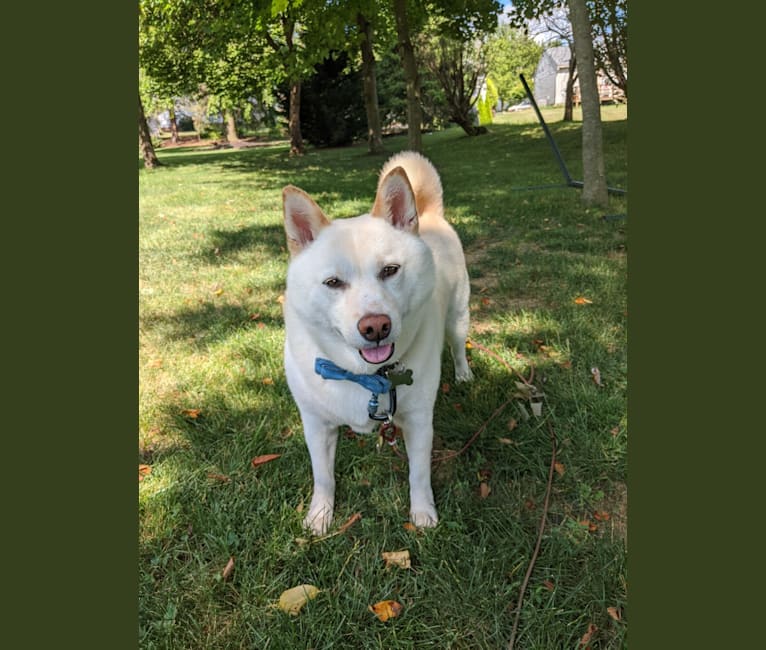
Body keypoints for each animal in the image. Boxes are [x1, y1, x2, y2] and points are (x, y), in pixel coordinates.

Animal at [282, 151, 474, 532]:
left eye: (390, 270)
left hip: (458, 317)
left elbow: (419, 475)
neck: (365, 376)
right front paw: (320, 517)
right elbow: (323, 477)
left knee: (459, 346)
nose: (376, 327)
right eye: (333, 282)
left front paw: (423, 515)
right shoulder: (316, 425)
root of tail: (428, 215)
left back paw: (463, 375)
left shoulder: (418, 421)